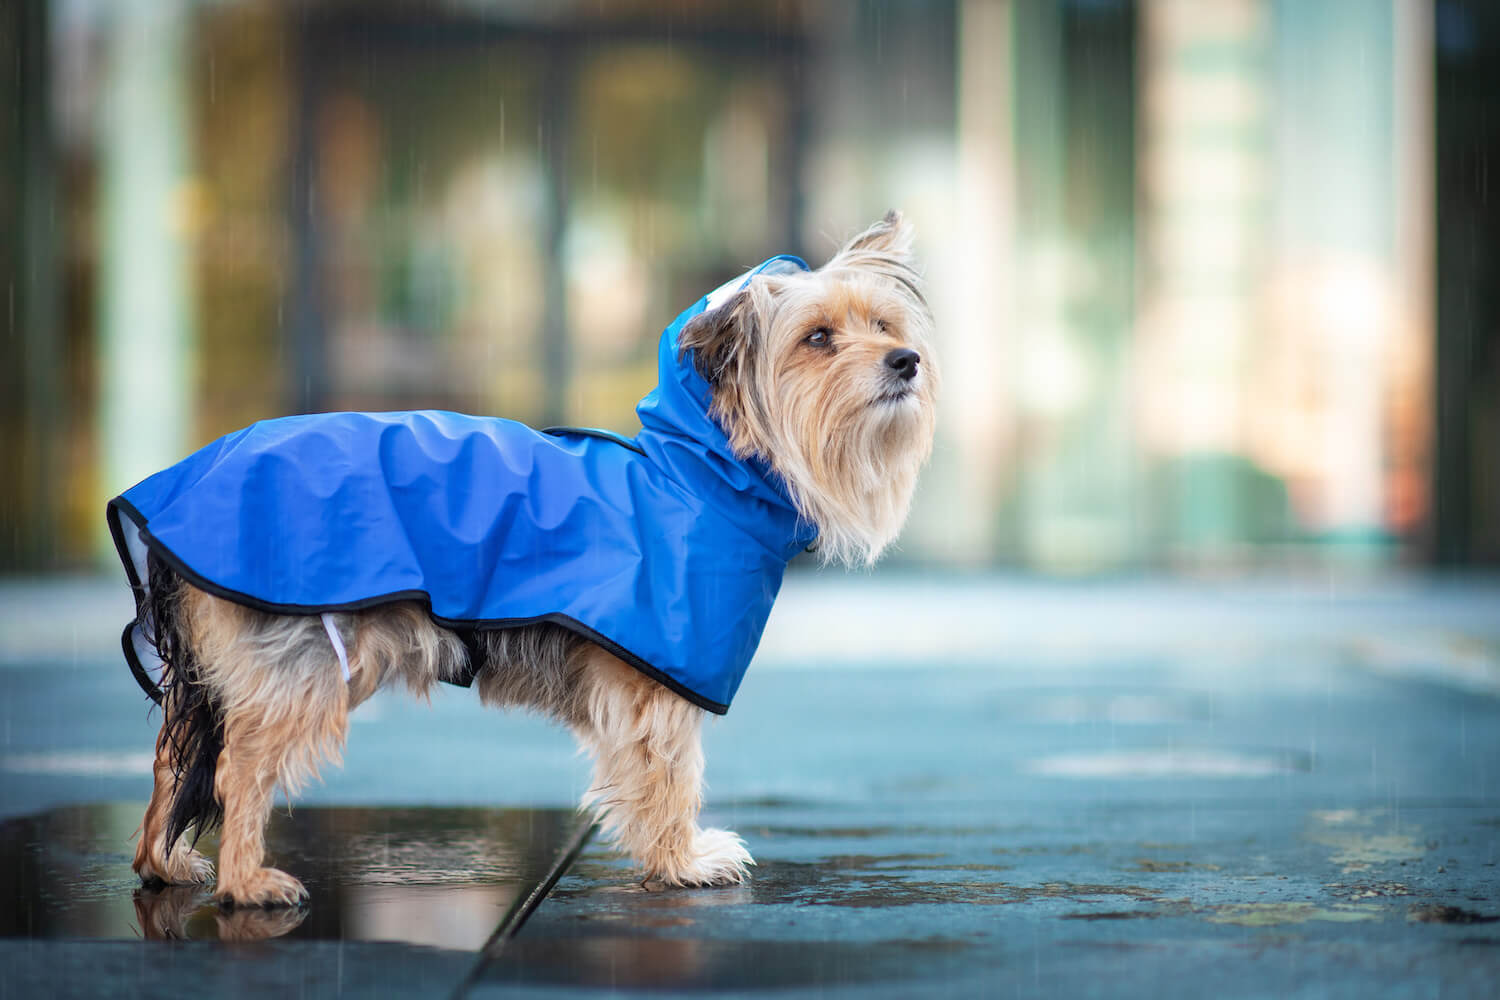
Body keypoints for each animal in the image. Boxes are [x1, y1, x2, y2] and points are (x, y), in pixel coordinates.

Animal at [111, 211, 936, 905]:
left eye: (883, 324)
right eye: (818, 338)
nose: (908, 360)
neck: (696, 474)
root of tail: (189, 478)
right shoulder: (655, 690)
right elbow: (668, 775)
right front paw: (681, 862)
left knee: (170, 760)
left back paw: (165, 864)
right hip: (306, 663)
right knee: (236, 769)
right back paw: (247, 883)